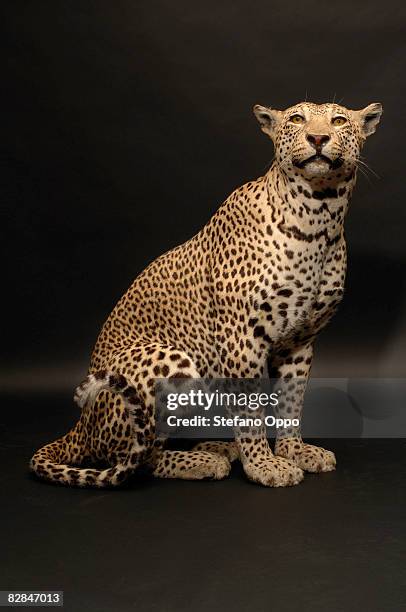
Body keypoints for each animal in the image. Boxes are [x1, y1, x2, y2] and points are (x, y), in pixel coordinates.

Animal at [30, 99, 382, 488]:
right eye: (296, 118)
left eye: (339, 120)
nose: (317, 138)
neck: (320, 216)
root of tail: (81, 425)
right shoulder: (242, 339)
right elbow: (250, 409)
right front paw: (264, 465)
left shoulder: (300, 342)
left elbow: (292, 402)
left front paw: (294, 451)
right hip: (171, 362)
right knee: (136, 458)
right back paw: (202, 460)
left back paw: (217, 447)